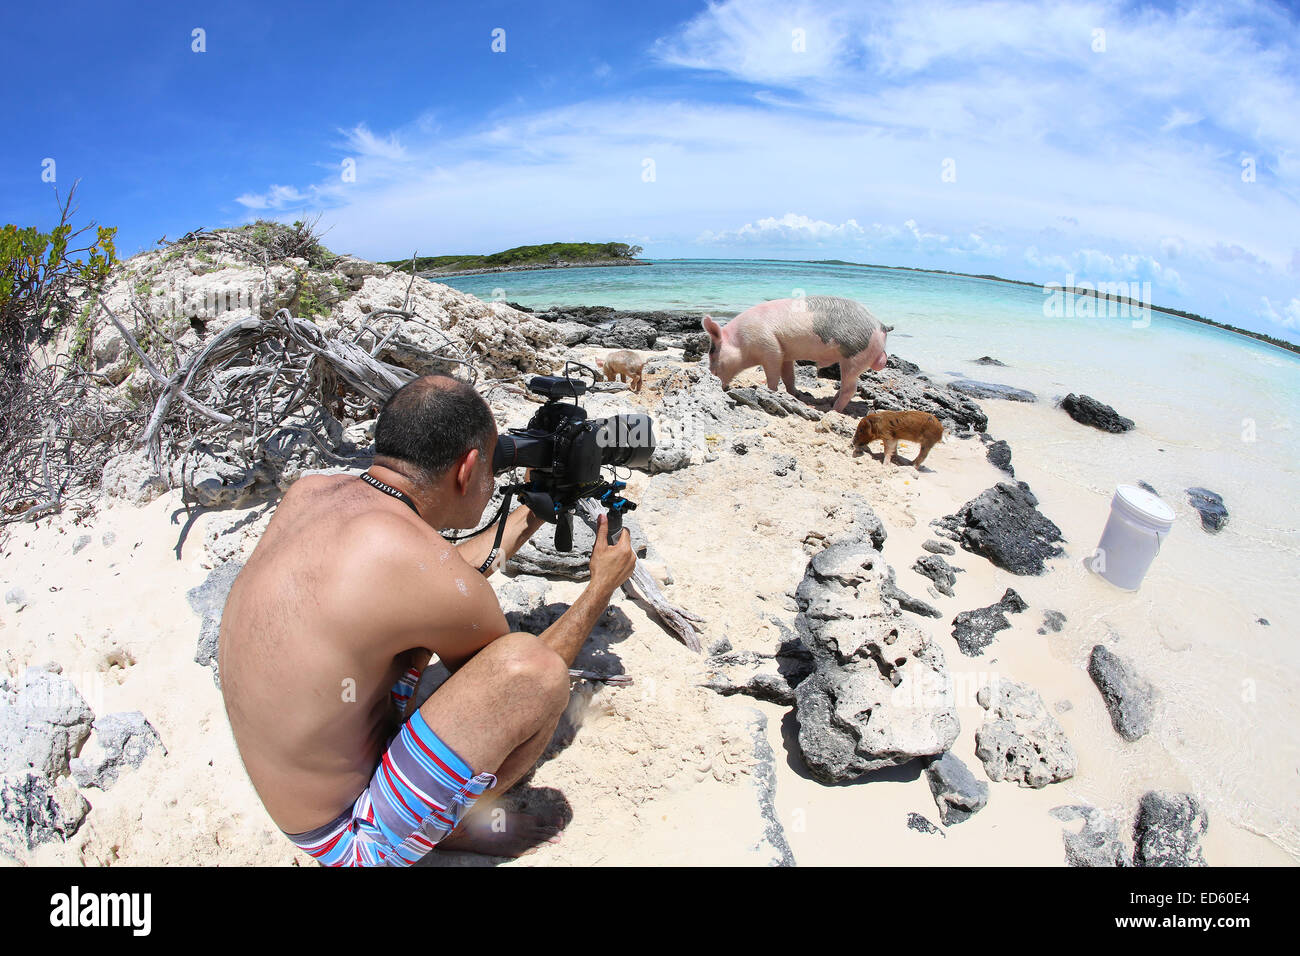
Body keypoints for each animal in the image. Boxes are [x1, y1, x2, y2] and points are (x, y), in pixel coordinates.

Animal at [707, 291, 889, 411]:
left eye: (712, 352)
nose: (712, 375)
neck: (741, 342)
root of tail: (880, 325)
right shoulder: (786, 354)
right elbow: (788, 377)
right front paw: (796, 394)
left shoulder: (770, 347)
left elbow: (773, 375)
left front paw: (770, 391)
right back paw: (829, 401)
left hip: (854, 357)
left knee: (850, 389)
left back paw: (831, 410)